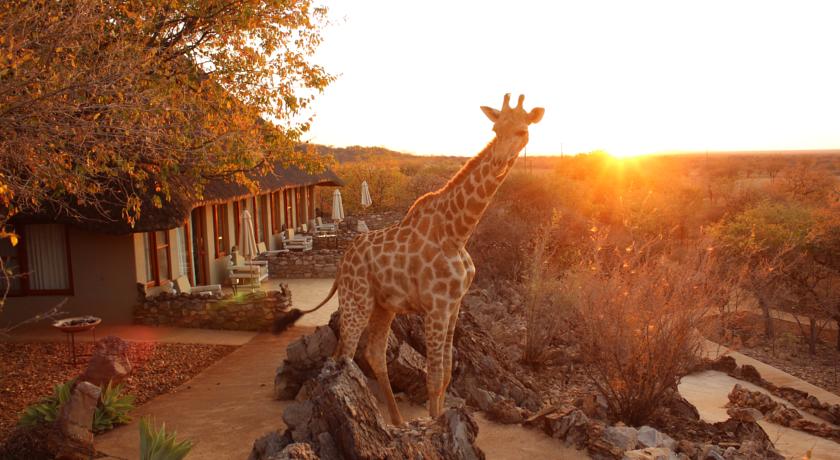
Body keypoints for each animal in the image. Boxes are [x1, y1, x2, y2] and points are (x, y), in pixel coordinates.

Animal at [282, 93, 544, 424]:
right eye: (495, 130)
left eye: (522, 132)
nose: (498, 162)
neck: (457, 233)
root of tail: (342, 262)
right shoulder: (436, 306)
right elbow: (433, 377)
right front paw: (434, 424)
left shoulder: (454, 306)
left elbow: (446, 375)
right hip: (357, 302)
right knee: (344, 355)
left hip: (383, 306)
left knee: (373, 353)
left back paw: (397, 422)